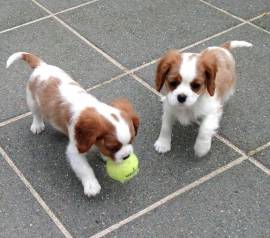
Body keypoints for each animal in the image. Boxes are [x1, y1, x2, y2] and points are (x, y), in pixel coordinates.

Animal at [6, 52, 139, 197]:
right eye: (112, 147)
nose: (127, 156)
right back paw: (37, 125)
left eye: (131, 141)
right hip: (32, 99)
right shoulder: (75, 151)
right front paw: (91, 185)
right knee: (36, 113)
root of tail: (42, 65)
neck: (92, 109)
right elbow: (85, 169)